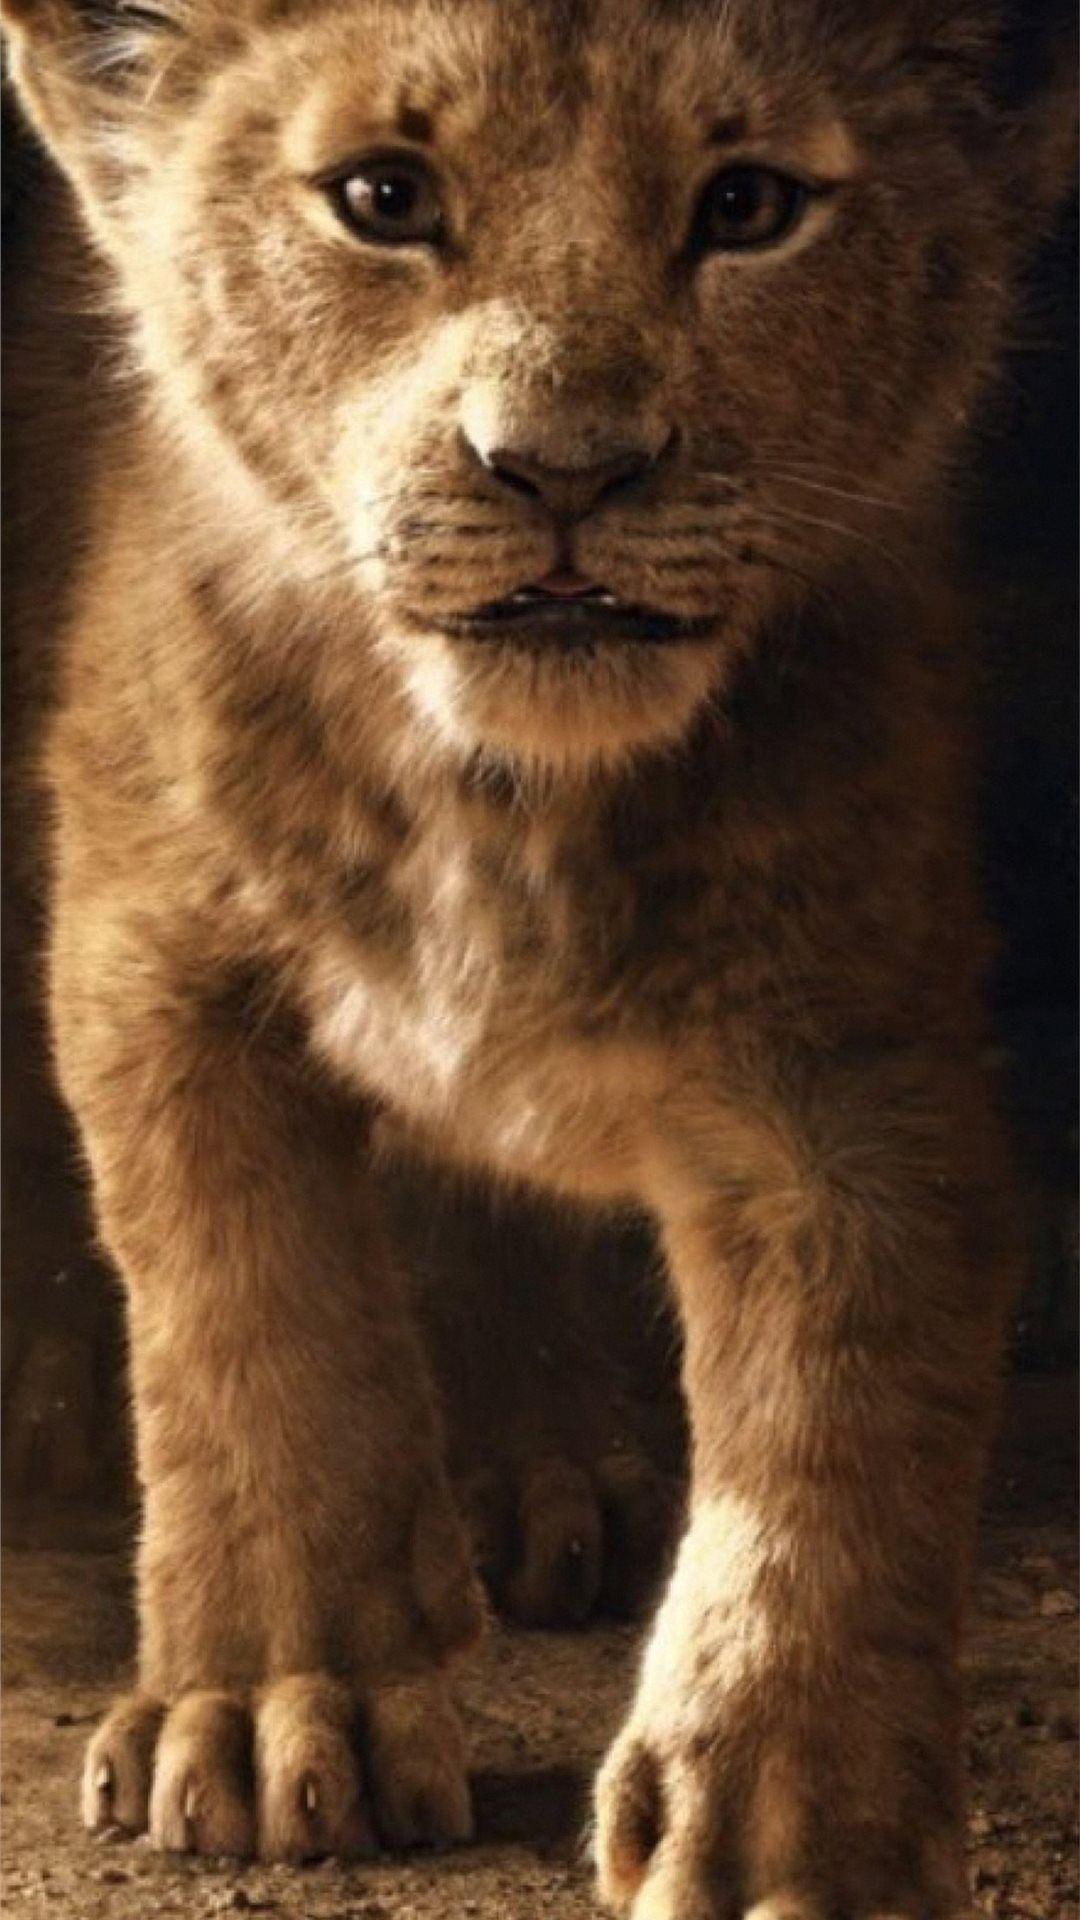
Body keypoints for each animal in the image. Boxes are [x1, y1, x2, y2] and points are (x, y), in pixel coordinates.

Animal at [2, 0, 1074, 1911]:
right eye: (380, 197)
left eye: (748, 205)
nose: (564, 467)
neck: (503, 792)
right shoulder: (149, 939)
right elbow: (247, 1315)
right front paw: (275, 1705)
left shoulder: (851, 1045)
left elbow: (841, 1411)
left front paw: (794, 1816)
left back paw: (540, 1469)